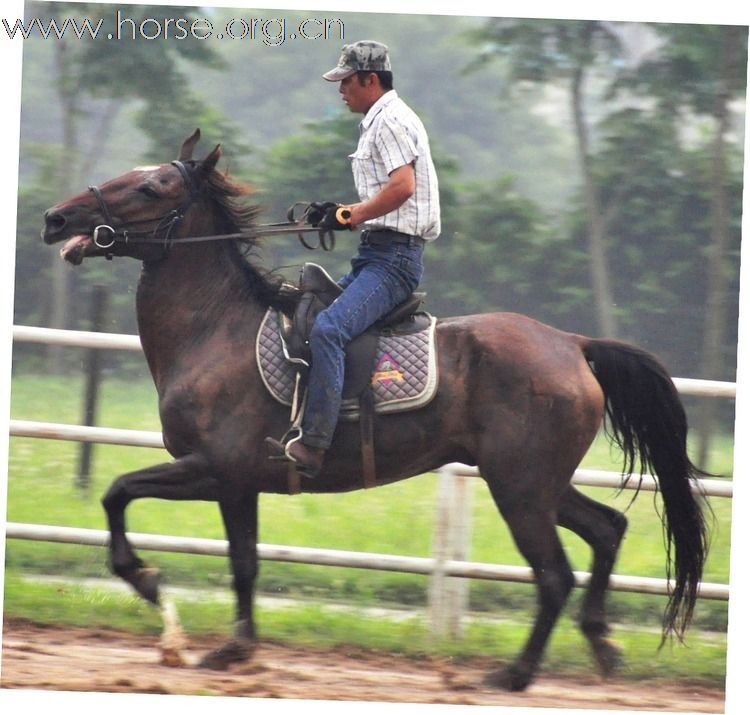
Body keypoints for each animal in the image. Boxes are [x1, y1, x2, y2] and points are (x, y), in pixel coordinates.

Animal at [42, 130, 712, 692]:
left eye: (152, 186)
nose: (56, 219)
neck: (215, 330)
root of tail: (573, 344)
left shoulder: (215, 469)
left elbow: (121, 493)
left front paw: (149, 583)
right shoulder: (239, 484)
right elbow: (244, 563)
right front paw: (236, 648)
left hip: (519, 488)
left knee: (554, 576)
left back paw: (515, 674)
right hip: (537, 481)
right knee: (606, 529)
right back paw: (601, 644)